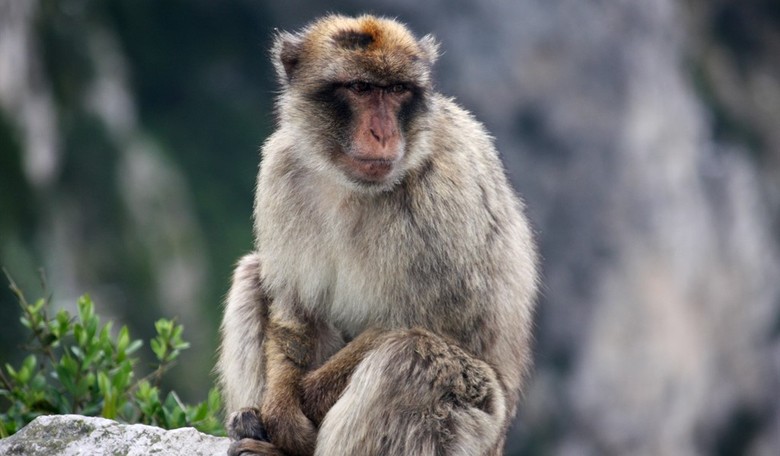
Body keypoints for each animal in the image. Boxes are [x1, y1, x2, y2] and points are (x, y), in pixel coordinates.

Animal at [217, 14, 538, 456]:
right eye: (361, 88)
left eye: (397, 90)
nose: (383, 134)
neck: (349, 185)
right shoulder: (281, 169)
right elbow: (296, 308)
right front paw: (280, 405)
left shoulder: (445, 197)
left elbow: (423, 324)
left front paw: (294, 411)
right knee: (252, 274)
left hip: (481, 430)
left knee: (412, 357)